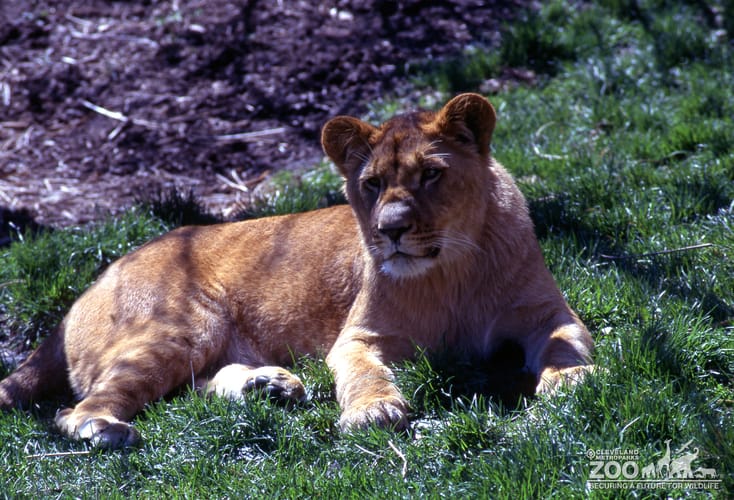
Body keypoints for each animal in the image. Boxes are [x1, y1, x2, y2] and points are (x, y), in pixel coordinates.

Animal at [0, 94, 593, 448]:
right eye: (372, 183)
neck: (453, 271)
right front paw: (374, 412)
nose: (391, 229)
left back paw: (269, 386)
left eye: (431, 174)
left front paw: (573, 381)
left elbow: (566, 343)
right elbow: (364, 373)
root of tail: (91, 284)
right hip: (180, 325)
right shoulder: (359, 336)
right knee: (75, 409)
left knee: (192, 387)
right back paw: (107, 429)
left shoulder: (547, 312)